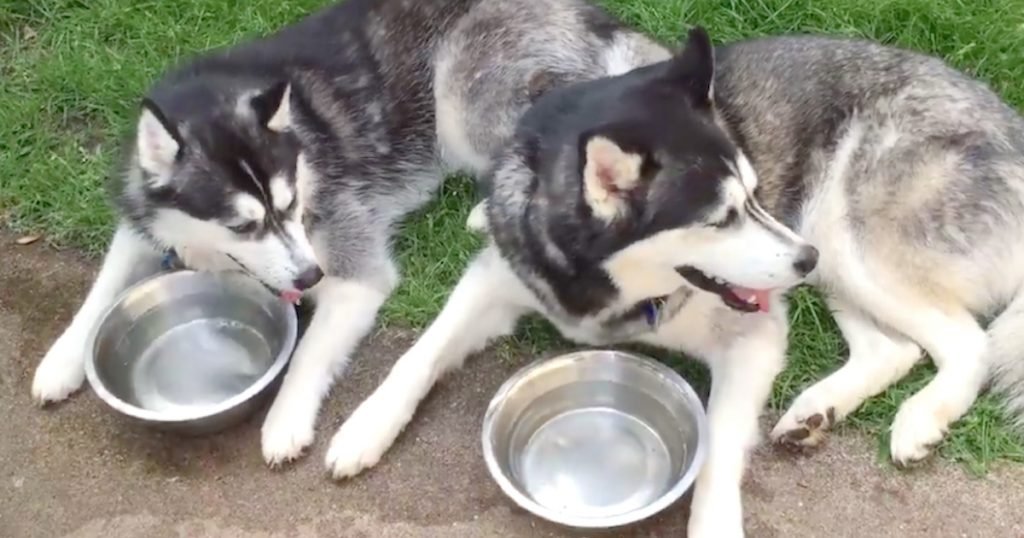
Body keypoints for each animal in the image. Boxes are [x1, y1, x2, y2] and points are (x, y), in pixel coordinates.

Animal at [28, 0, 671, 465]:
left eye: (290, 205)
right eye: (244, 224)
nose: (310, 273)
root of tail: (594, 16)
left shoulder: (355, 271)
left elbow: (311, 353)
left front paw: (285, 420)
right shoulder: (139, 221)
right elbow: (100, 291)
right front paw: (62, 357)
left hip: (462, 96)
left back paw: (488, 211)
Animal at [323, 26, 1024, 536]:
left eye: (754, 194)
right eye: (720, 218)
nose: (803, 260)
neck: (607, 284)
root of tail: (1009, 122)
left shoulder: (754, 334)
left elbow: (716, 449)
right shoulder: (497, 277)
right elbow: (419, 354)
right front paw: (363, 426)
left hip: (845, 232)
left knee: (968, 342)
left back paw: (919, 418)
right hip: (835, 252)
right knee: (896, 346)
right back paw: (815, 411)